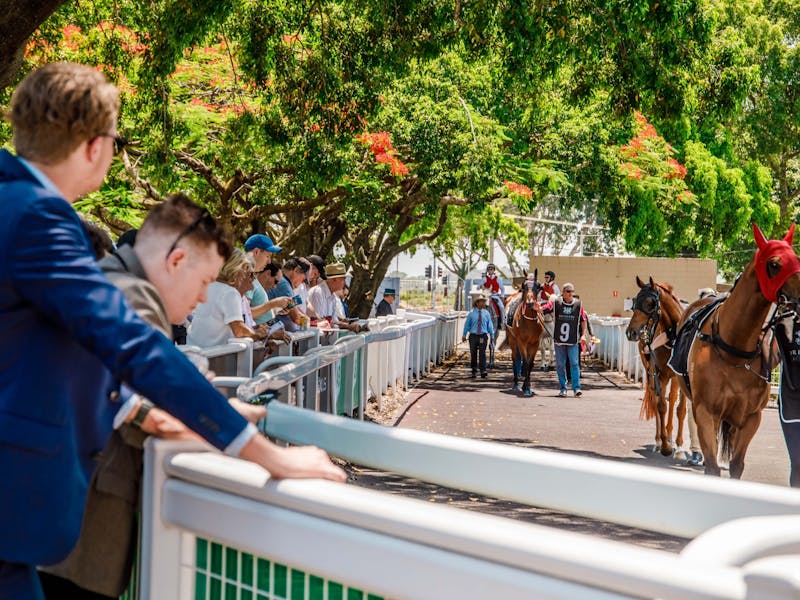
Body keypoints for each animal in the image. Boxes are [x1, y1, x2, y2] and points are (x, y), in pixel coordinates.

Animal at [624, 276, 688, 454]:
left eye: (651, 303)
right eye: (634, 301)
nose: (631, 332)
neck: (673, 337)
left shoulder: (681, 376)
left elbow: (680, 409)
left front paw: (679, 445)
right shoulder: (660, 373)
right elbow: (661, 406)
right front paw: (665, 444)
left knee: (672, 400)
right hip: (651, 371)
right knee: (656, 398)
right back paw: (659, 440)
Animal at [676, 224, 800, 478]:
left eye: (797, 259)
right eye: (774, 264)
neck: (733, 347)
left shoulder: (750, 418)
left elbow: (737, 465)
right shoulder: (706, 412)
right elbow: (712, 466)